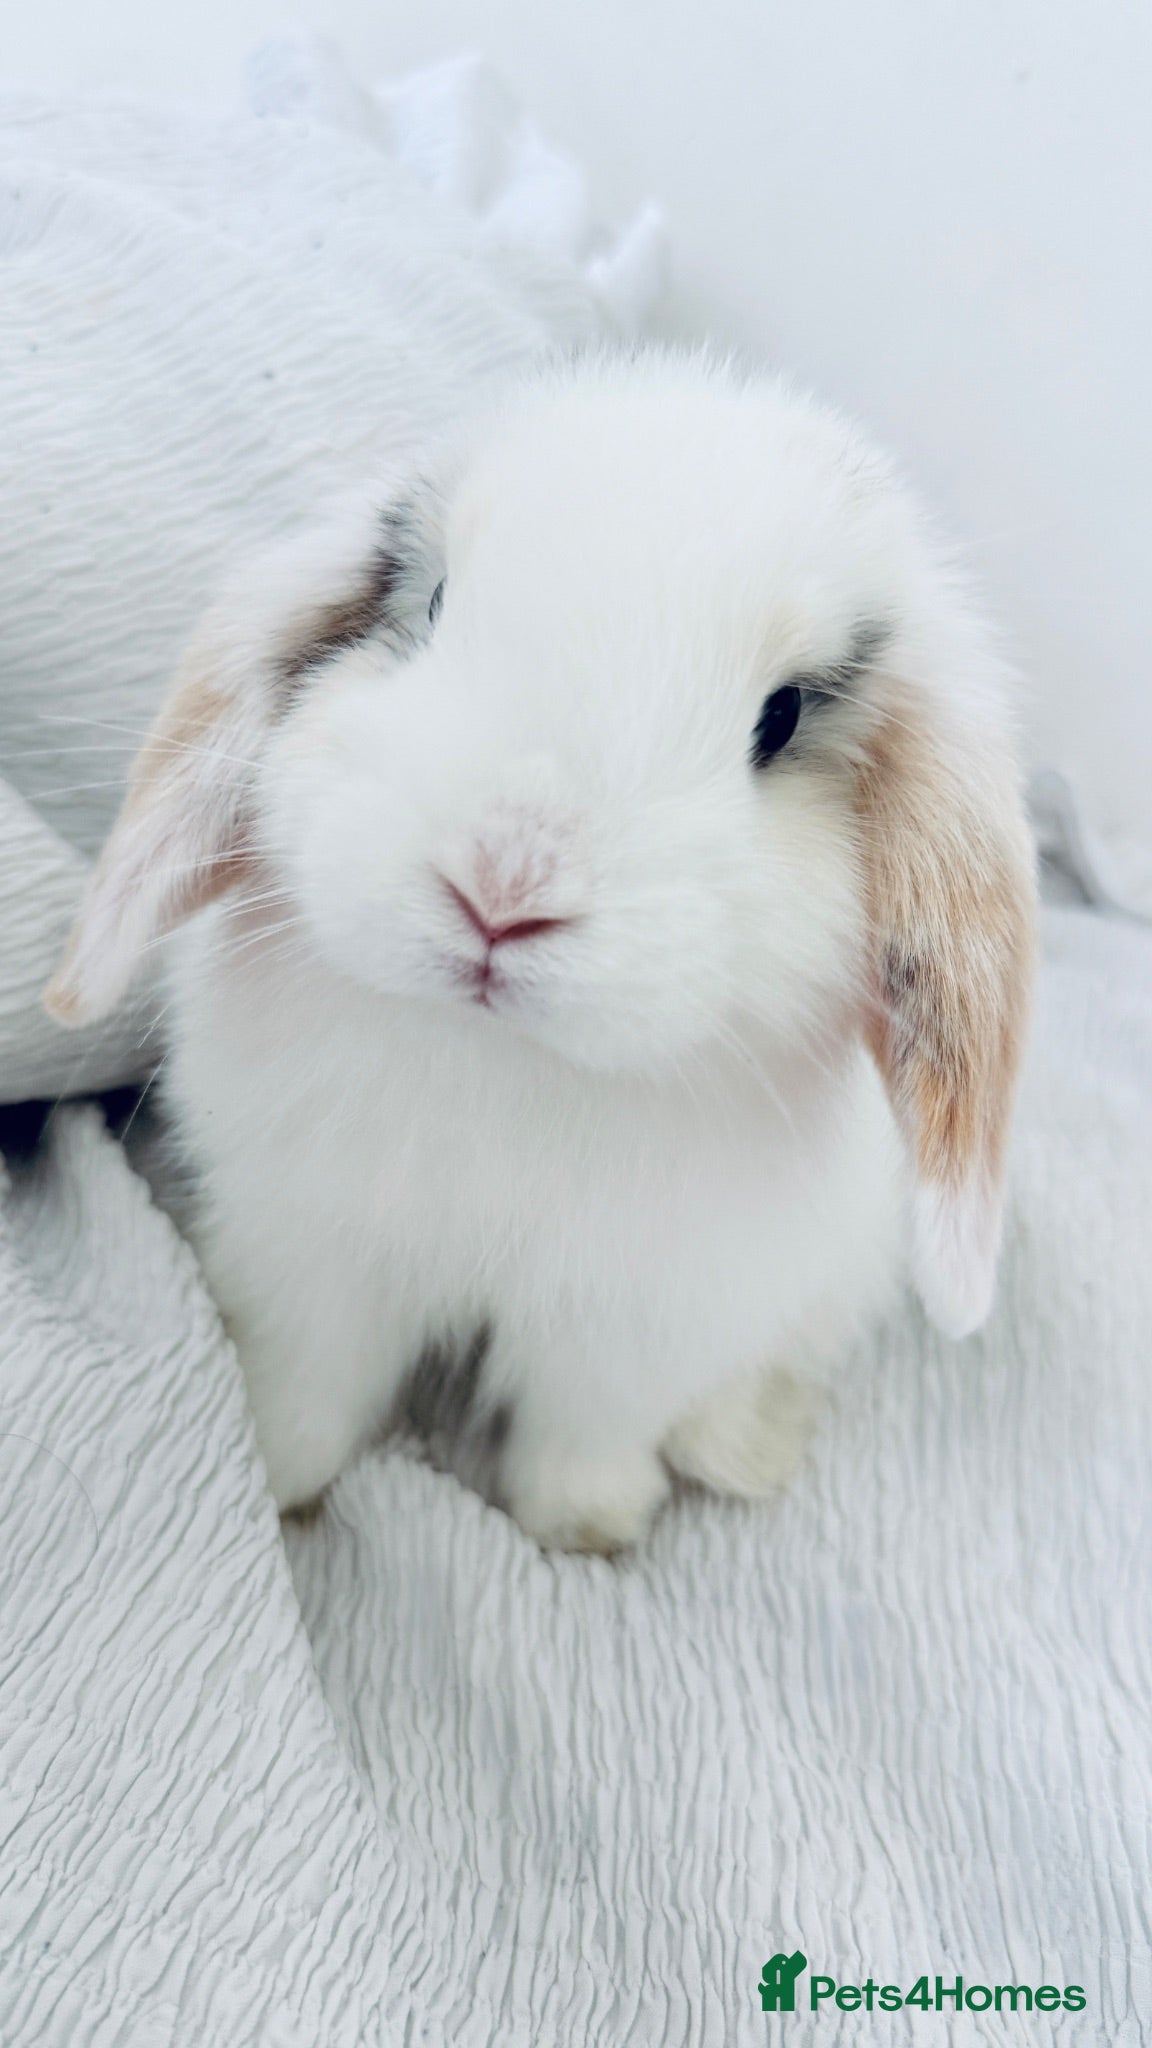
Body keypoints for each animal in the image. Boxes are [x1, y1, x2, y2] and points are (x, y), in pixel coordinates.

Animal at [46, 351, 1036, 1553]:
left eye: (781, 718)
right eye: (433, 607)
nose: (501, 891)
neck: (505, 1060)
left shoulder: (634, 1326)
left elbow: (586, 1427)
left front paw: (589, 1528)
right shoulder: (309, 1260)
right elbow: (306, 1386)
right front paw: (278, 1488)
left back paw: (741, 1449)